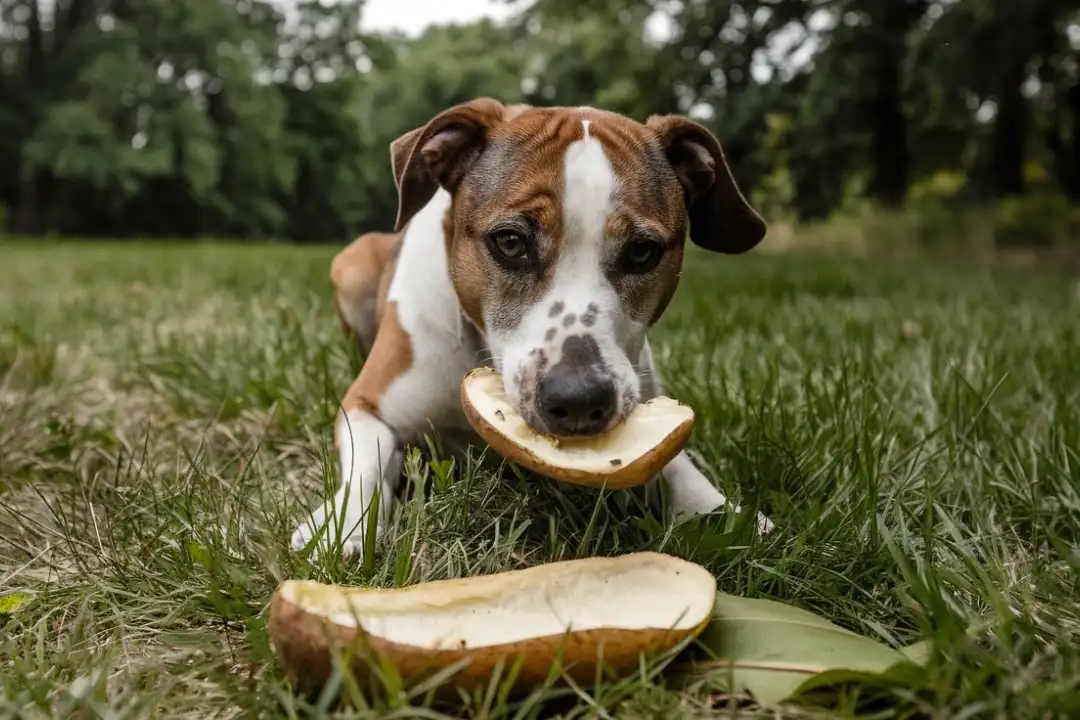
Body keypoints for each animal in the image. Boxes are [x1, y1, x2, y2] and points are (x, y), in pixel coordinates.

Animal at [291, 98, 773, 561]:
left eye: (642, 252)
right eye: (510, 242)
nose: (579, 400)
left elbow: (670, 456)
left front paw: (719, 510)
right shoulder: (364, 403)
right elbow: (368, 462)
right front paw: (339, 524)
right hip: (350, 264)